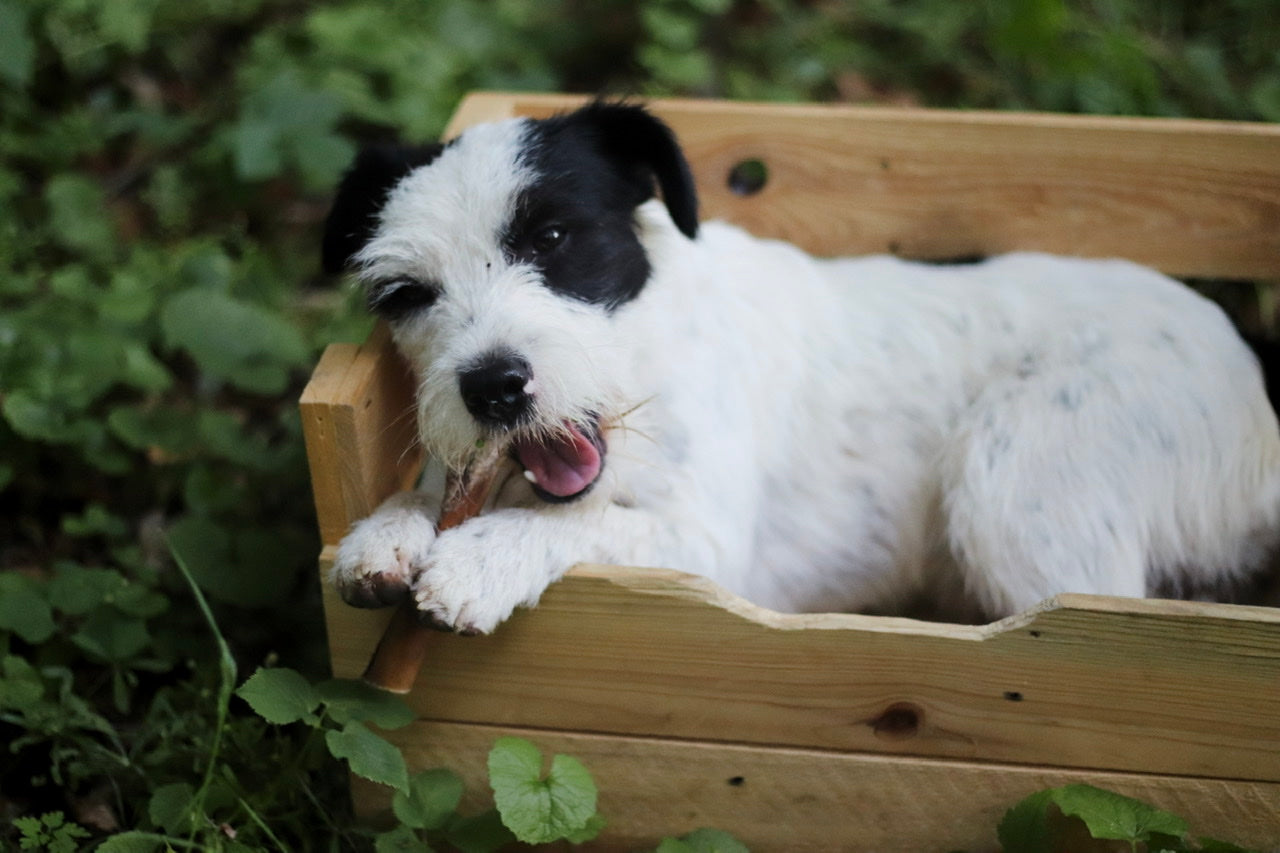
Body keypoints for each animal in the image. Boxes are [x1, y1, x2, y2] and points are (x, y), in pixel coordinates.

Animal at [320, 101, 1280, 630]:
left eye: (553, 236)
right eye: (407, 292)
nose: (493, 387)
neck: (644, 358)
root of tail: (1256, 389)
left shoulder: (705, 546)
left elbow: (576, 527)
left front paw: (480, 561)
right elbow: (430, 498)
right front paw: (386, 531)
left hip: (1019, 493)